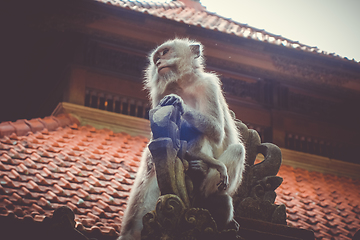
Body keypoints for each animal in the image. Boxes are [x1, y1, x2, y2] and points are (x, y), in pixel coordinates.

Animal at [119, 38, 246, 239]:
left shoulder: (208, 85)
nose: (158, 62)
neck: (182, 84)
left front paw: (179, 103)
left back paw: (206, 188)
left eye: (165, 52)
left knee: (234, 149)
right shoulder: (159, 95)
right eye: (156, 57)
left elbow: (217, 130)